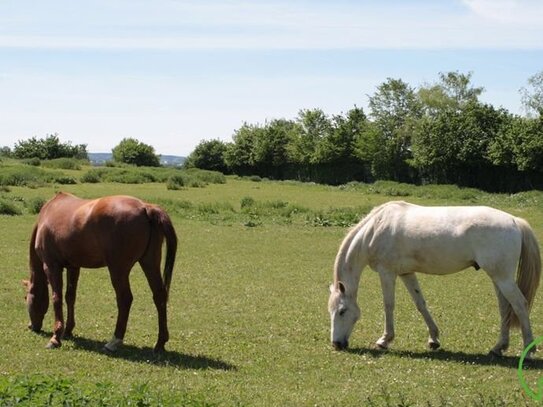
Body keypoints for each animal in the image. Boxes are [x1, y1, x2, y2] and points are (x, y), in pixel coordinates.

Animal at [23, 193, 177, 352]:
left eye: (26, 297)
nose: (31, 326)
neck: (48, 214)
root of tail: (145, 207)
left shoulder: (51, 266)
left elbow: (56, 298)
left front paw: (55, 338)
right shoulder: (73, 267)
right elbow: (70, 297)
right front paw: (68, 330)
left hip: (118, 270)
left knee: (125, 299)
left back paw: (114, 341)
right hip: (149, 263)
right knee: (159, 295)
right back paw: (160, 343)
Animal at [330, 202, 540, 358]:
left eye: (342, 311)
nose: (336, 344)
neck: (375, 228)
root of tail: (514, 220)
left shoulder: (387, 272)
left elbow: (388, 305)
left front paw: (384, 340)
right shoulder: (407, 273)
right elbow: (420, 303)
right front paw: (433, 339)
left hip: (502, 277)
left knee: (519, 304)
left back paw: (528, 349)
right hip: (497, 277)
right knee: (505, 307)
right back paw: (498, 347)